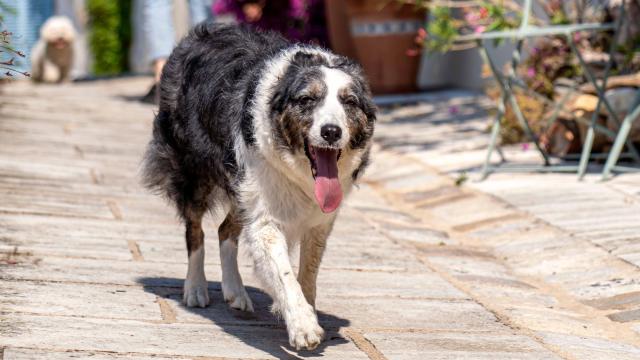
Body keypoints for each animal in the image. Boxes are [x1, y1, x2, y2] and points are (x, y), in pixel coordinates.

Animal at [141, 23, 376, 350]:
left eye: (349, 102)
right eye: (307, 100)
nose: (331, 132)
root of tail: (197, 35)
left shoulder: (319, 221)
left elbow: (308, 271)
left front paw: (307, 310)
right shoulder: (265, 218)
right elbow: (284, 272)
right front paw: (303, 325)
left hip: (242, 189)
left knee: (225, 230)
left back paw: (235, 291)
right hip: (196, 173)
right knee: (195, 231)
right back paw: (196, 288)